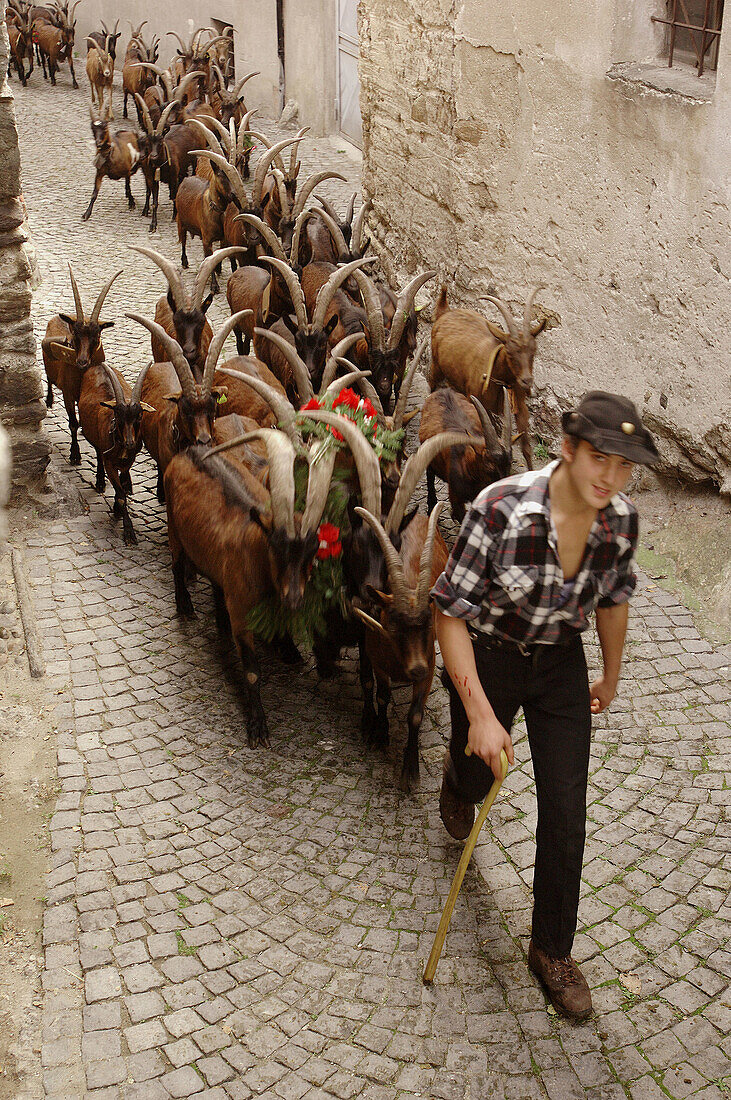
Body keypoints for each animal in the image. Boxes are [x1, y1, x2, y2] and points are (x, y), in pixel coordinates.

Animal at [430, 283, 545, 468]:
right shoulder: (476, 400)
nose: (527, 381)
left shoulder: (520, 405)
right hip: (436, 365)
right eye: (510, 352)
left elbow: (526, 448)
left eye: (534, 351)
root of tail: (445, 311)